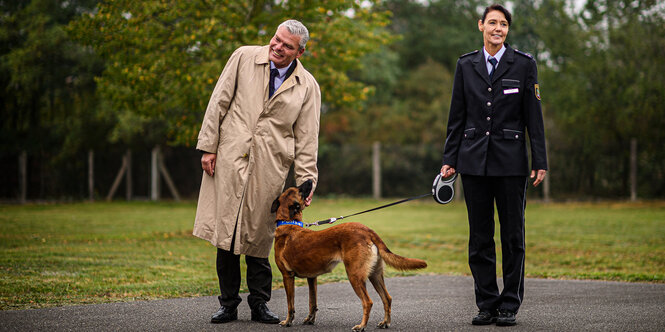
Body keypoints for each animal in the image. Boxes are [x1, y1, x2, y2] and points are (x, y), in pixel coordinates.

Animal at [270, 180, 426, 330]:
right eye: (299, 190)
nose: (309, 180)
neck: (289, 223)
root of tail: (367, 230)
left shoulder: (287, 276)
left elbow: (290, 305)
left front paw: (287, 321)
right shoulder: (312, 278)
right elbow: (312, 302)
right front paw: (310, 320)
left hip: (354, 275)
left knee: (368, 302)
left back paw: (361, 326)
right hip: (375, 275)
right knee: (387, 298)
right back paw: (385, 322)